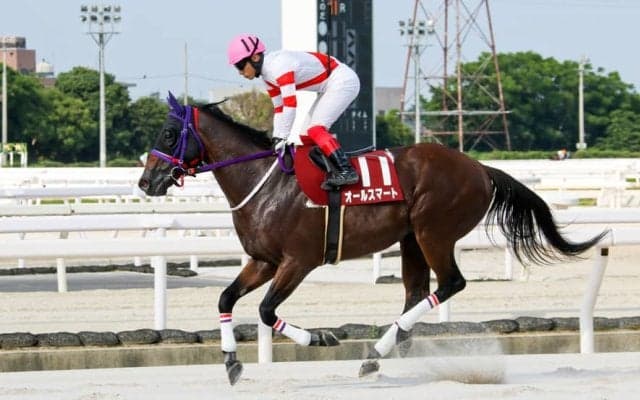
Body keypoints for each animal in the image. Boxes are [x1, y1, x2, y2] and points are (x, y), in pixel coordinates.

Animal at [138, 93, 606, 385]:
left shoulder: (298, 261)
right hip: (412, 240)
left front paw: (321, 339)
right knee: (417, 292)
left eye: (168, 134)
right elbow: (226, 299)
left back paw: (377, 349)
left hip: (433, 231)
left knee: (451, 283)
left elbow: (267, 311)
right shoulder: (263, 260)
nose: (146, 182)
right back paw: (382, 351)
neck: (264, 182)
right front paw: (232, 362)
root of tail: (480, 168)